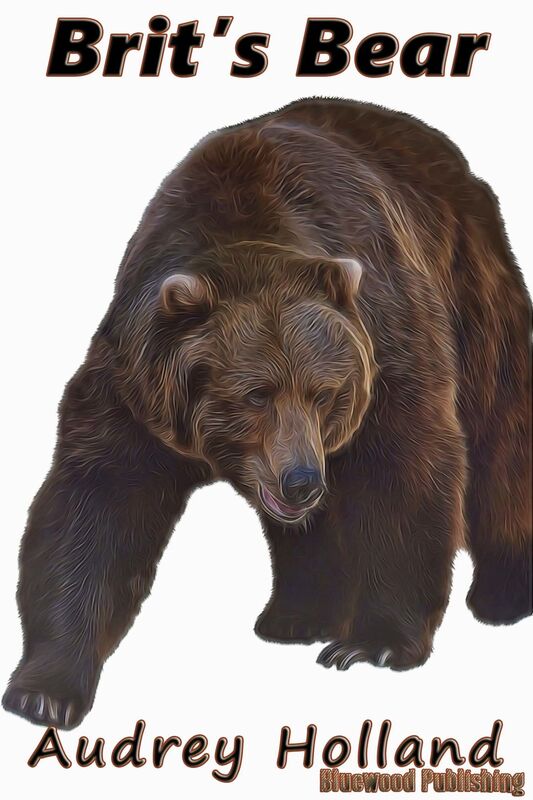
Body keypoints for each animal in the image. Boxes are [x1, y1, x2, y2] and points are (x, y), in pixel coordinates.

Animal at [3, 97, 532, 730]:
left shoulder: (386, 338)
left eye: (325, 392)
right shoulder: (134, 386)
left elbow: (405, 468)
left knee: (501, 439)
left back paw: (504, 593)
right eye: (255, 393)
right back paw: (295, 616)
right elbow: (95, 506)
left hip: (472, 290)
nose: (302, 481)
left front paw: (371, 644)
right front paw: (44, 690)